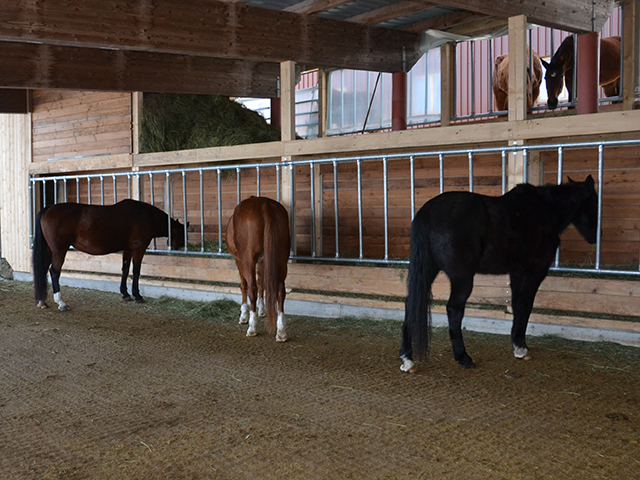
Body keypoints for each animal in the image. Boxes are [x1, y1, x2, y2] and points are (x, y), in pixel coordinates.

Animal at [33, 199, 185, 312]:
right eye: (182, 234)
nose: (180, 246)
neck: (145, 216)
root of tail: (48, 209)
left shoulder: (127, 249)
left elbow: (125, 270)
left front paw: (125, 294)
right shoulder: (138, 249)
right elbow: (136, 271)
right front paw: (137, 295)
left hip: (49, 251)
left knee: (43, 270)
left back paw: (42, 302)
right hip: (59, 251)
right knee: (54, 272)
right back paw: (61, 303)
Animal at [226, 195, 292, 342]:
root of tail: (265, 204)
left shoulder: (240, 261)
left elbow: (244, 285)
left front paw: (244, 315)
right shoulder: (263, 262)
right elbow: (263, 283)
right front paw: (262, 310)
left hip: (248, 261)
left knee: (252, 288)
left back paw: (252, 328)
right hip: (281, 259)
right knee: (280, 290)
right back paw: (281, 331)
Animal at [400, 176, 600, 372]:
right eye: (594, 202)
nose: (595, 237)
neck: (545, 211)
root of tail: (427, 214)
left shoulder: (517, 272)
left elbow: (517, 304)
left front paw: (517, 345)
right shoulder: (534, 273)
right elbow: (526, 305)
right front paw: (521, 348)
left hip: (429, 270)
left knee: (411, 303)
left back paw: (407, 359)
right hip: (462, 278)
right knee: (454, 309)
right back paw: (463, 357)